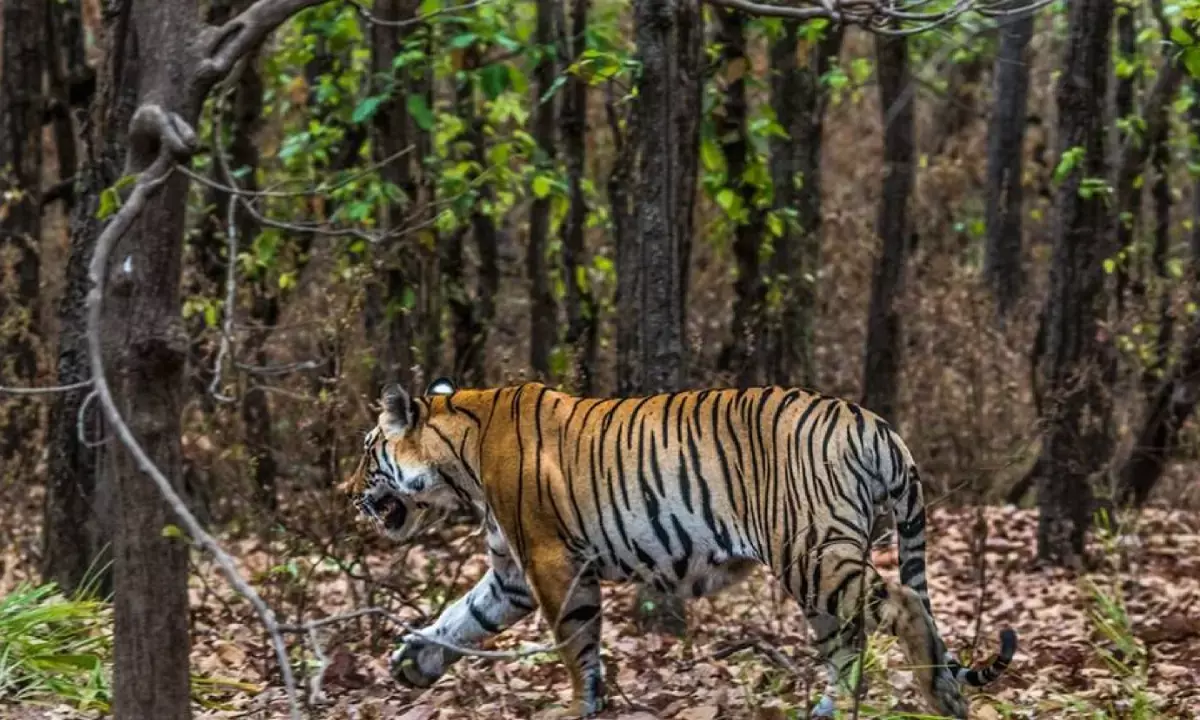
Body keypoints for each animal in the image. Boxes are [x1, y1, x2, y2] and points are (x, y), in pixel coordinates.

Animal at [344, 378, 1017, 718]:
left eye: (365, 451)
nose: (345, 493)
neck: (458, 460)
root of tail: (874, 425)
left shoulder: (551, 562)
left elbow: (576, 646)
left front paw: (581, 707)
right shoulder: (511, 574)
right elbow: (461, 617)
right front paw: (414, 662)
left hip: (812, 553)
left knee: (905, 604)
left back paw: (942, 699)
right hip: (818, 568)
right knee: (851, 643)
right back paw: (830, 711)